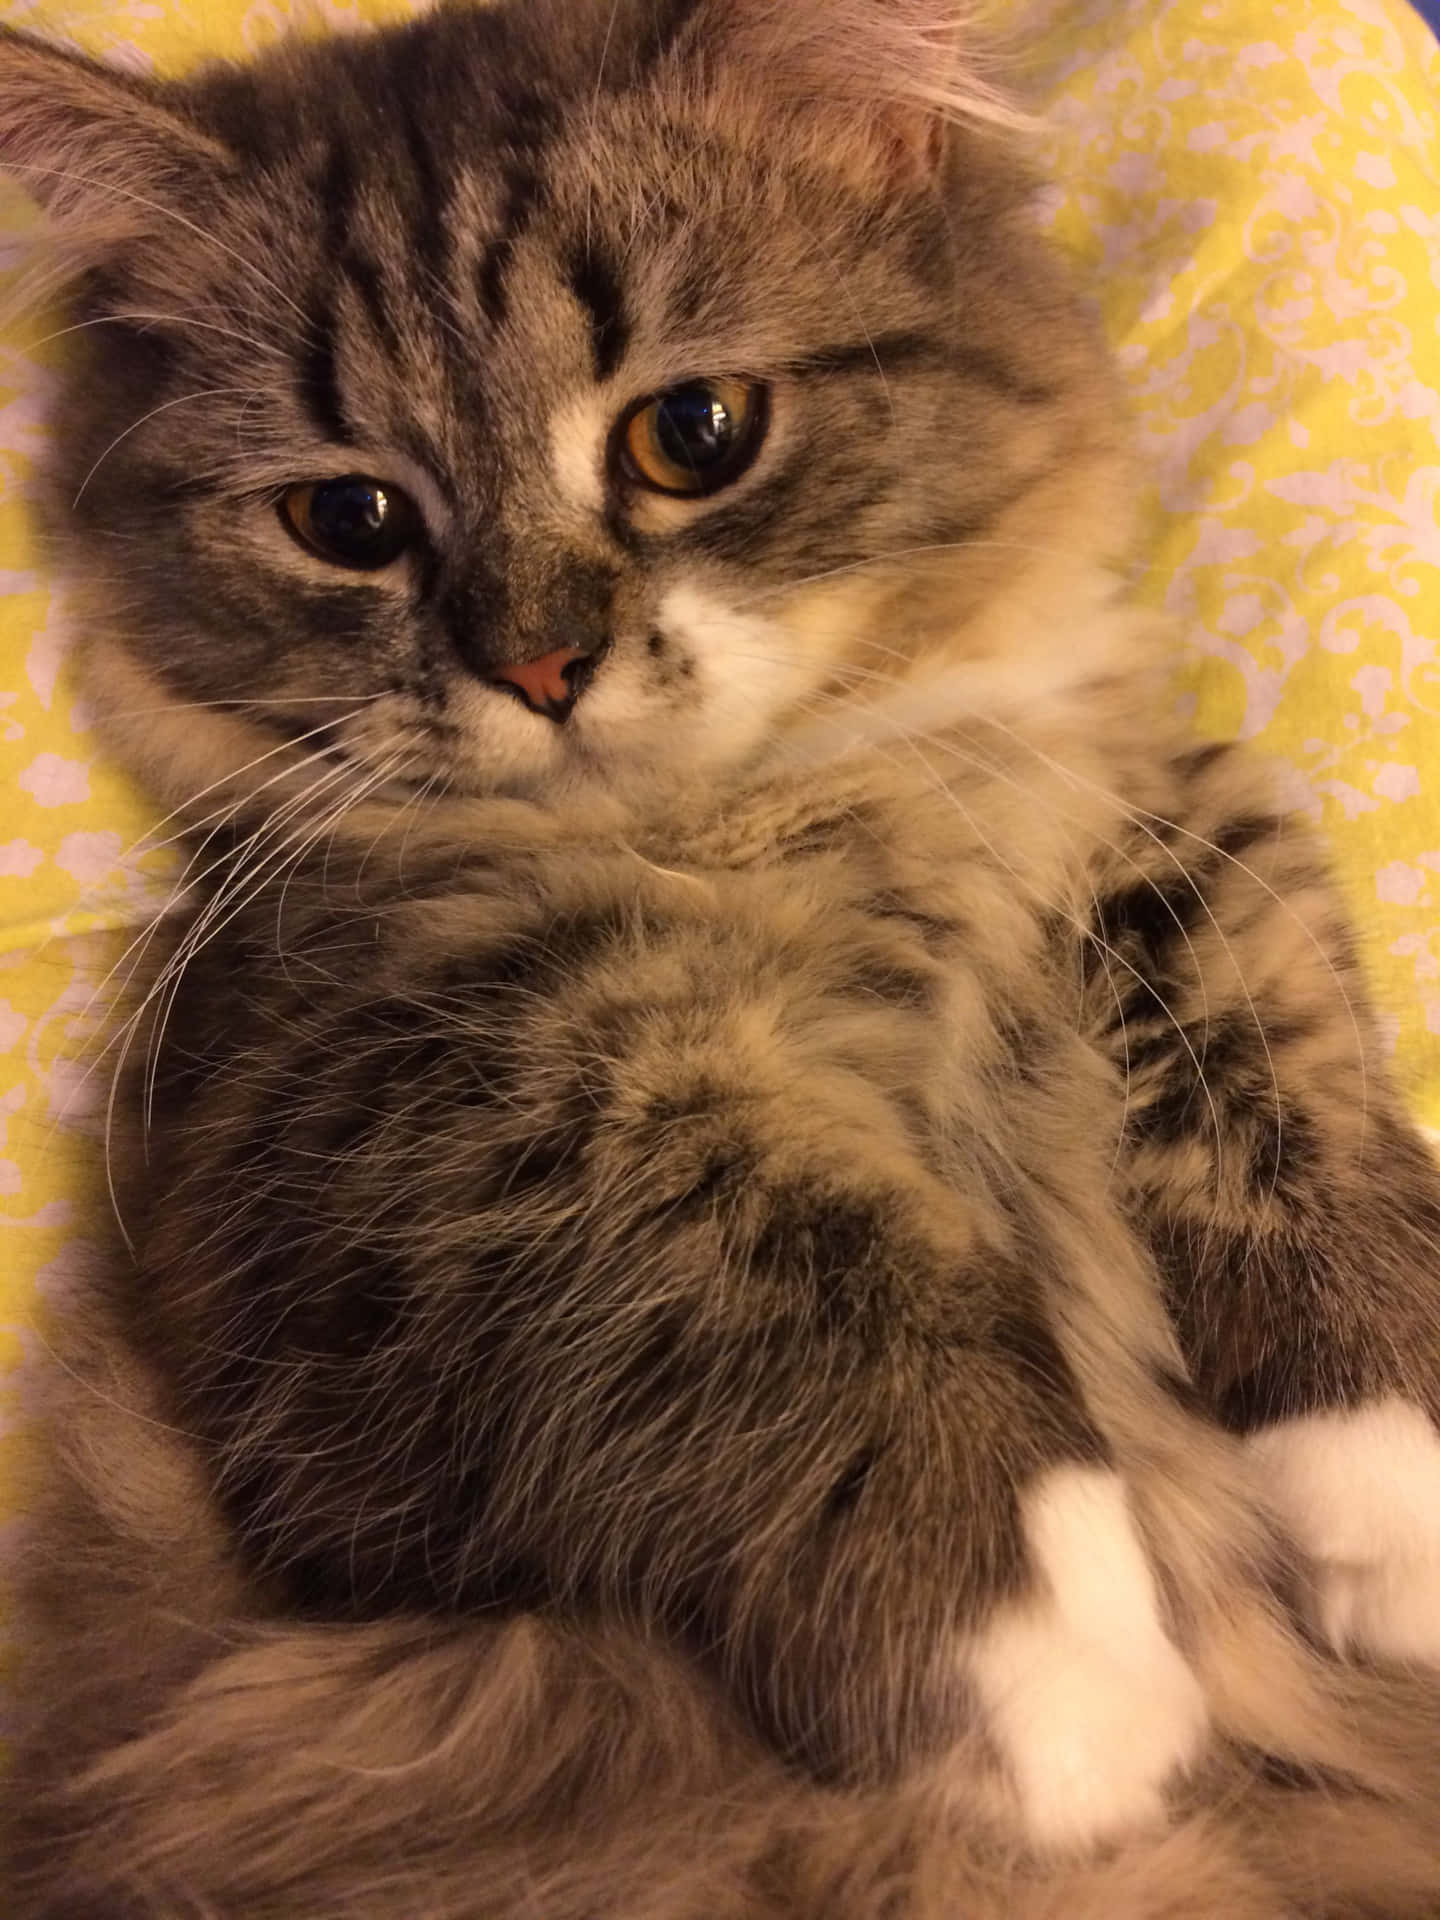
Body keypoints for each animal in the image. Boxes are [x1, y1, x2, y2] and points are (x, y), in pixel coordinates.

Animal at [2, 0, 1440, 1912]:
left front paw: (1392, 1496)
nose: (540, 666)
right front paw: (1068, 1686)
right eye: (352, 523)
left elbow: (1280, 1073)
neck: (792, 817)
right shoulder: (400, 1136)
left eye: (692, 432)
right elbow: (814, 1257)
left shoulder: (1144, 812)